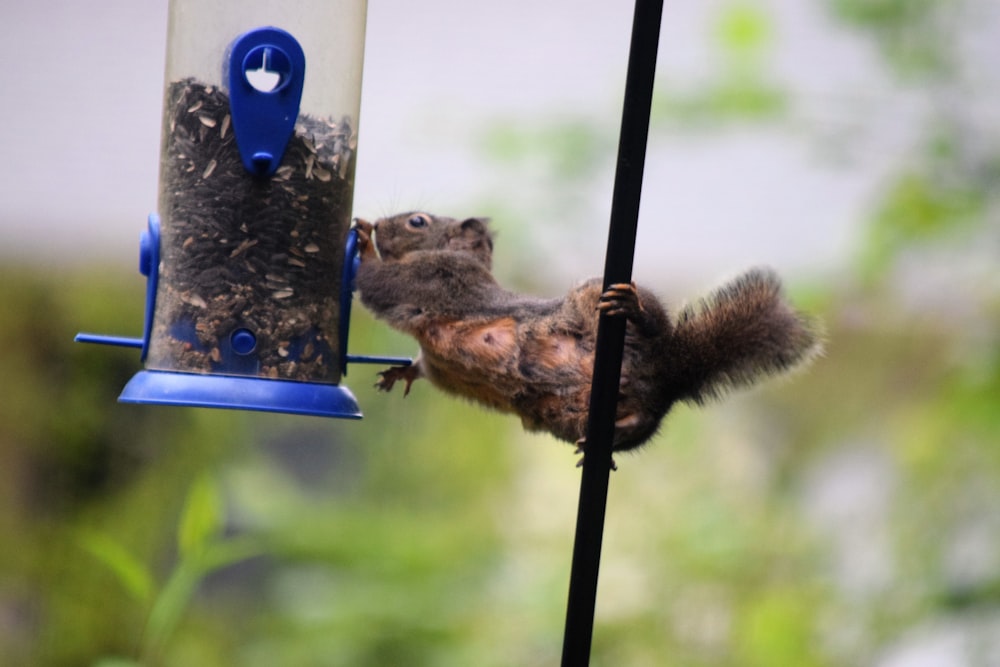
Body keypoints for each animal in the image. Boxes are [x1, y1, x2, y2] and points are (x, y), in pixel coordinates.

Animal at [352, 213, 820, 460]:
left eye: (417, 221)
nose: (382, 225)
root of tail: (669, 373)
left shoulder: (438, 281)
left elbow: (382, 286)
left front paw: (363, 243)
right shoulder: (436, 357)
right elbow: (422, 365)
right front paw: (401, 374)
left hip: (600, 298)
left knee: (650, 325)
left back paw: (633, 308)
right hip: (576, 417)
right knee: (638, 425)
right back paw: (615, 433)